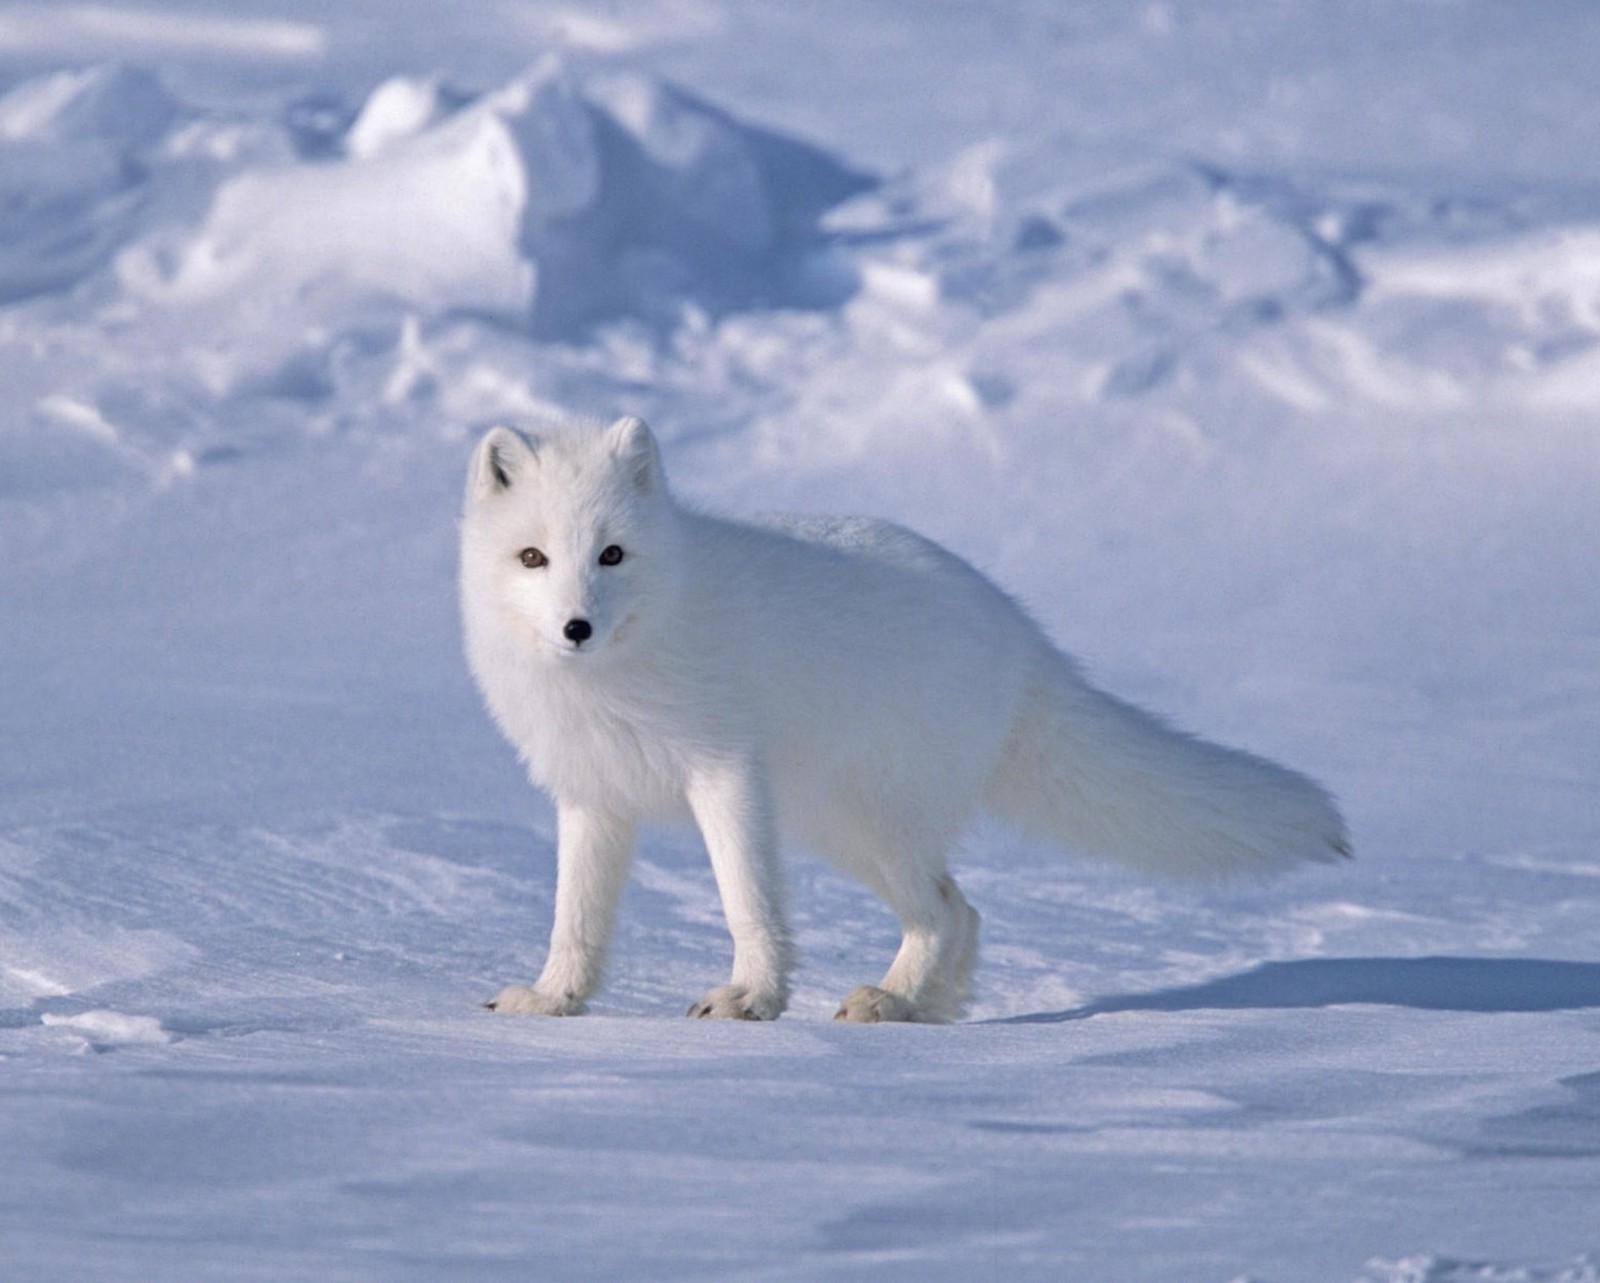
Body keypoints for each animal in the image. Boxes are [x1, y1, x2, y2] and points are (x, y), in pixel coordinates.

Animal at [464, 415, 1350, 1017]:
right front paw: (553, 999)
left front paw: (751, 998)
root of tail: (1021, 634)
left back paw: (892, 1001)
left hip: (867, 820)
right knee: (964, 910)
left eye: (612, 554)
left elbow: (748, 900)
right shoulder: (593, 795)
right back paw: (922, 1009)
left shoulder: (725, 773)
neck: (620, 668)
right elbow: (575, 917)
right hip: (842, 826)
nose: (576, 626)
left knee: (946, 909)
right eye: (534, 557)